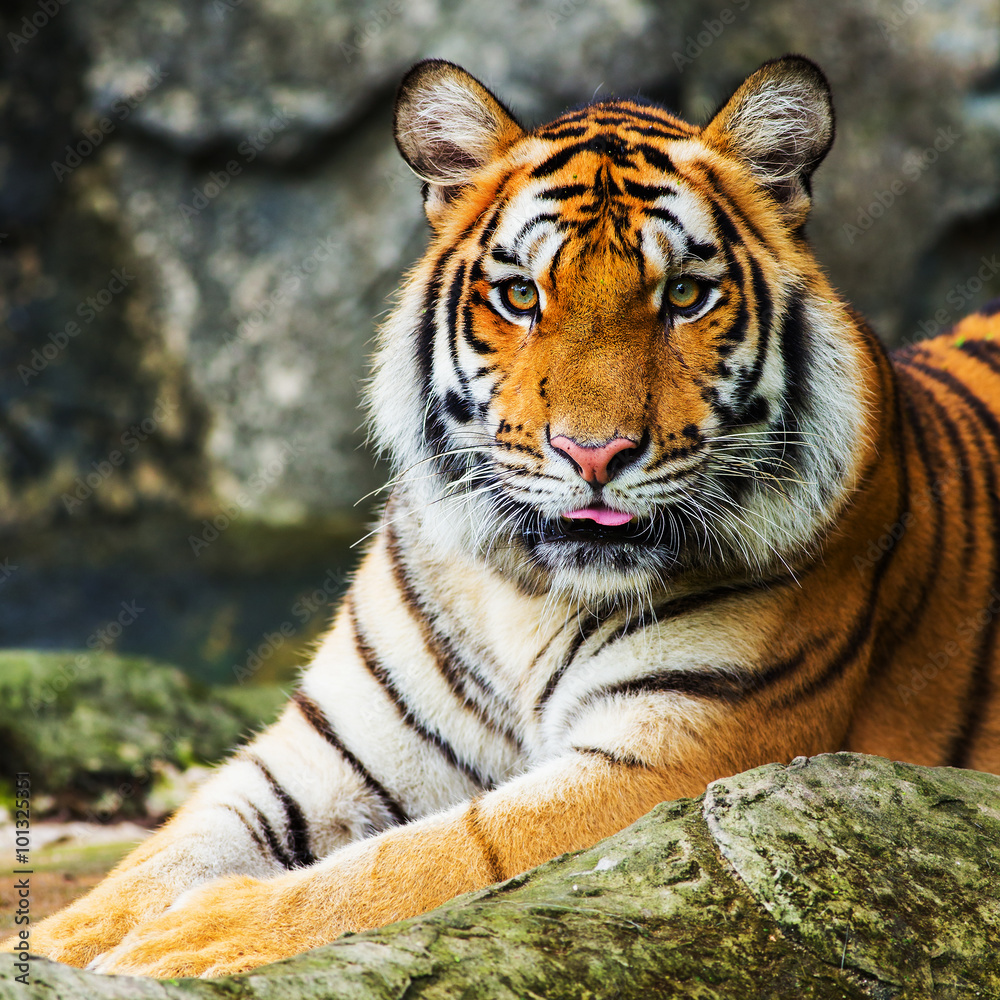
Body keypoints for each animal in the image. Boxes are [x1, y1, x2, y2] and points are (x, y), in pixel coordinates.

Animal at [14, 54, 1000, 979]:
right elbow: (156, 858)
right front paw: (60, 941)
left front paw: (199, 936)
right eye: (521, 296)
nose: (594, 454)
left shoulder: (679, 758)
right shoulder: (324, 753)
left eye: (684, 296)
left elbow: (439, 855)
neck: (527, 594)